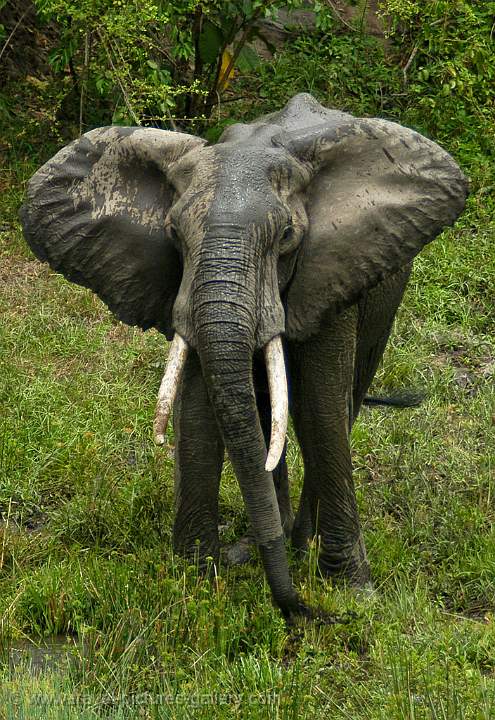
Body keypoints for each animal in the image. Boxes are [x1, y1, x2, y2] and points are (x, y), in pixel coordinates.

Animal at [20, 93, 468, 620]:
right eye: (173, 234)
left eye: (288, 237)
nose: (302, 610)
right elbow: (199, 407)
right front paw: (193, 579)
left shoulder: (332, 267)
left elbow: (319, 406)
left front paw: (352, 595)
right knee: (263, 407)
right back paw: (269, 541)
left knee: (337, 402)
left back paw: (300, 544)